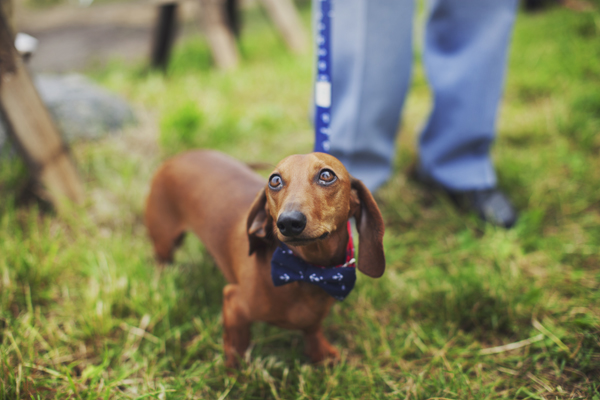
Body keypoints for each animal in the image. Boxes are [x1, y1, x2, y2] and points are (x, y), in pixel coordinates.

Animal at [145, 149, 384, 366]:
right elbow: (236, 347)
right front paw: (235, 376)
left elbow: (313, 327)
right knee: (162, 260)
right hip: (166, 240)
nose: (288, 222)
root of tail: (181, 155)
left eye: (327, 175)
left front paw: (321, 353)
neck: (305, 272)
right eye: (275, 180)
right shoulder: (234, 303)